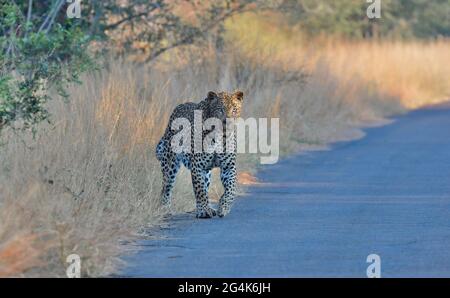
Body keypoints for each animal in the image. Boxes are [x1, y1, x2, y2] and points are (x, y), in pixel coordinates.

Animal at [156, 89, 244, 218]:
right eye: (220, 109)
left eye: (234, 109)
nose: (226, 122)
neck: (220, 135)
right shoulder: (197, 166)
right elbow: (200, 191)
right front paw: (204, 211)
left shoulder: (228, 166)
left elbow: (231, 189)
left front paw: (224, 207)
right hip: (170, 162)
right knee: (166, 187)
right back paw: (165, 209)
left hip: (206, 171)